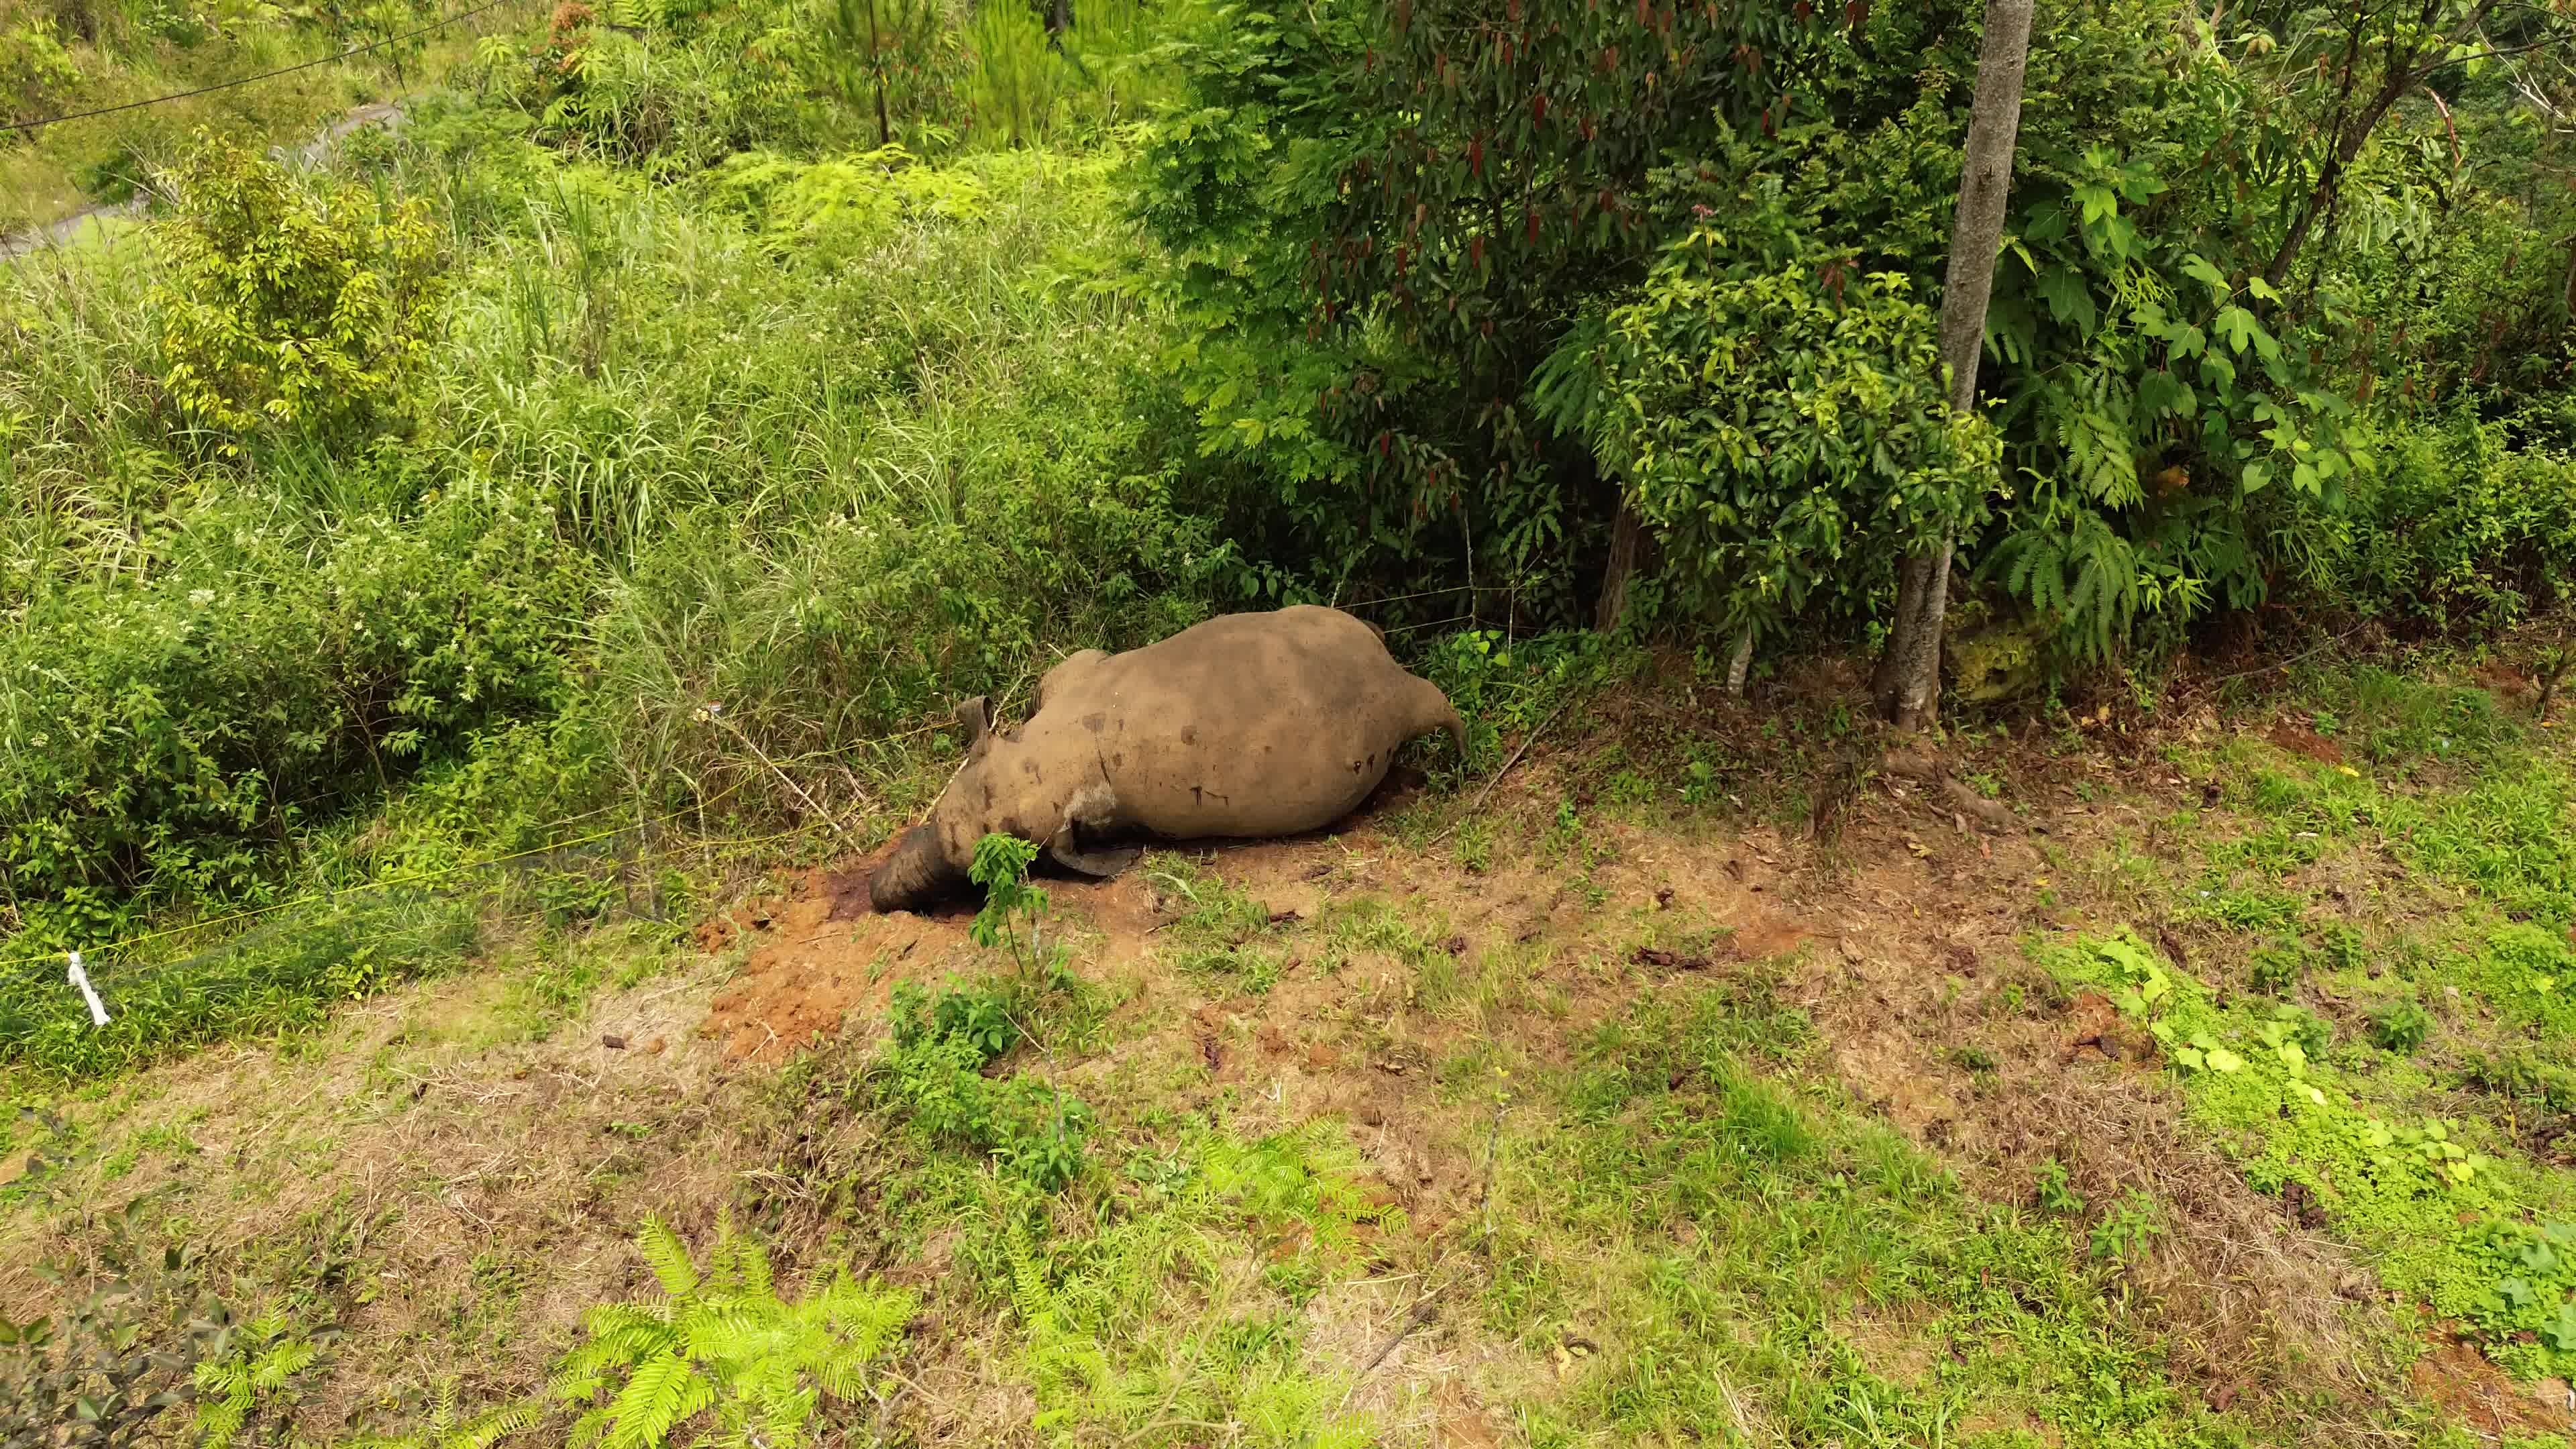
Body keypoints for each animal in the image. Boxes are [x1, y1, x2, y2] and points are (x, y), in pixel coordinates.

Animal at [867, 605, 1466, 913]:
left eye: (976, 874)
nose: (878, 891)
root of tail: (1377, 642)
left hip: (1405, 701)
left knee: (1445, 708)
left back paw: (1462, 763)